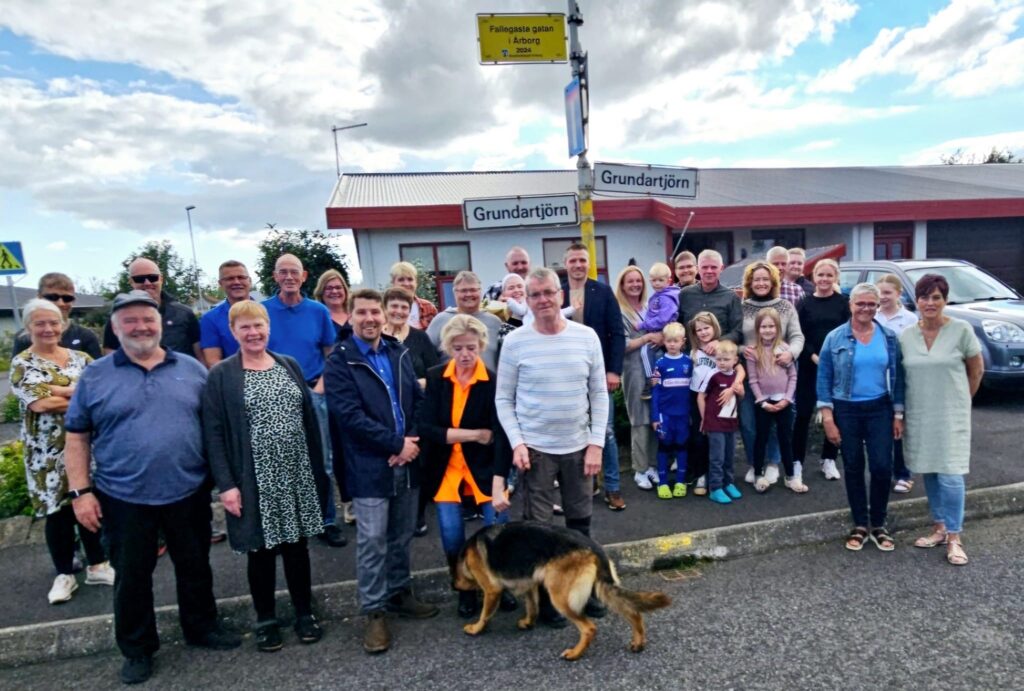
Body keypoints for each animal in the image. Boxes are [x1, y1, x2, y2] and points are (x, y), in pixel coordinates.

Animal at [453, 521, 671, 660]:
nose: (454, 585)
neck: (466, 553)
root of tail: (594, 547)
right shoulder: (531, 583)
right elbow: (532, 606)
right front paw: (528, 622)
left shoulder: (492, 590)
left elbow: (485, 614)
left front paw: (476, 628)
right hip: (601, 589)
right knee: (633, 612)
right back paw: (638, 642)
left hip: (560, 597)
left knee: (589, 628)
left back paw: (575, 654)